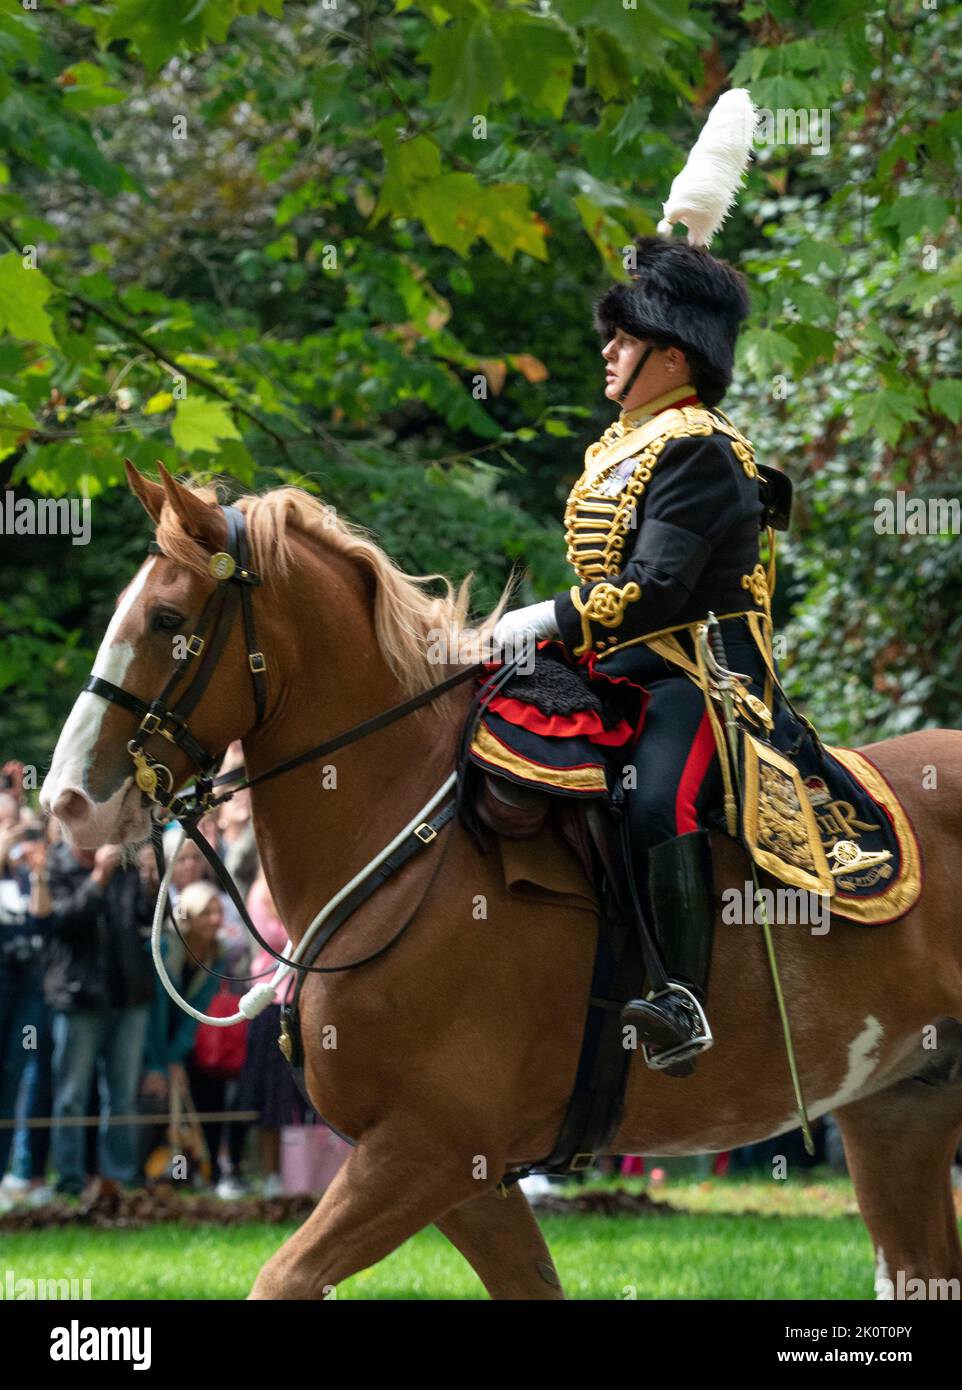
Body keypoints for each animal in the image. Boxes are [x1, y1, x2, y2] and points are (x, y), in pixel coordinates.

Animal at [41, 461, 962, 1295]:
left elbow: (282, 1279)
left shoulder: (428, 1147)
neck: (411, 831)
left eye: (167, 618)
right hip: (898, 1110)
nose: (68, 802)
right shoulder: (464, 1176)